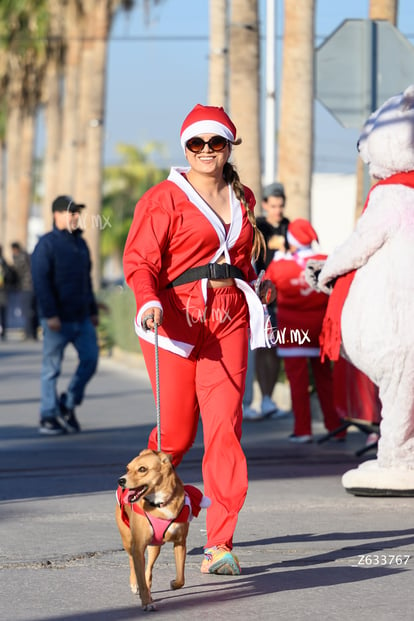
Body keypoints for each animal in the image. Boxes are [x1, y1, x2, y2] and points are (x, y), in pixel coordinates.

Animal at [115, 446, 209, 612]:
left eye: (142, 469)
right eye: (127, 468)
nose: (121, 480)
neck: (159, 503)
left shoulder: (180, 543)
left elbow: (181, 577)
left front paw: (174, 584)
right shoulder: (138, 546)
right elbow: (140, 575)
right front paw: (146, 602)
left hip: (155, 547)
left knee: (148, 569)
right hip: (128, 540)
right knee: (133, 562)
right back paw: (135, 584)